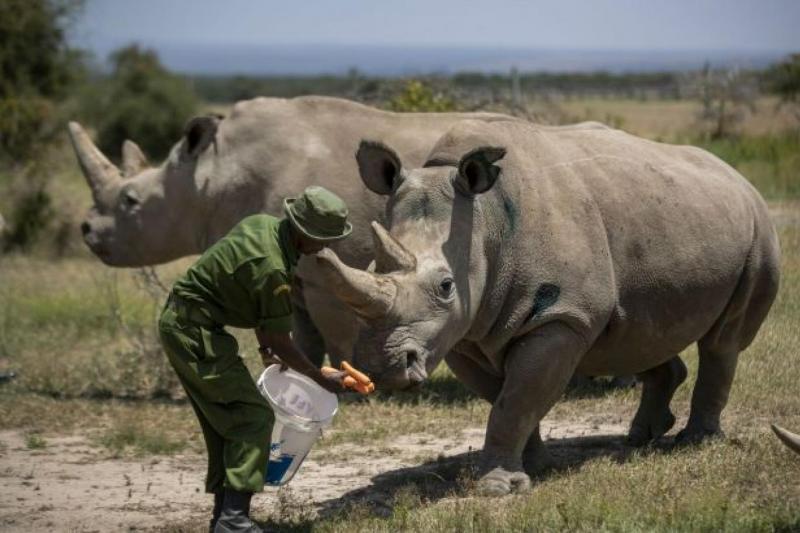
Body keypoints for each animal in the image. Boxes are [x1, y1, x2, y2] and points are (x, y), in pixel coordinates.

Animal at [67, 96, 506, 362]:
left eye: (130, 202)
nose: (86, 230)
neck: (209, 176)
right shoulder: (294, 272)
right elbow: (302, 332)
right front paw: (302, 371)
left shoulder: (330, 270)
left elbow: (336, 330)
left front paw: (356, 377)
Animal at [318, 118, 780, 492]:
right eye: (372, 266)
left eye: (446, 286)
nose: (382, 368)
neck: (484, 221)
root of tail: (735, 175)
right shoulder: (464, 331)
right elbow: (507, 398)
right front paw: (535, 468)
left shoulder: (561, 317)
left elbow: (516, 400)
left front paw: (497, 488)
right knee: (638, 331)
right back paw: (642, 437)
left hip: (759, 229)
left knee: (723, 340)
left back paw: (695, 441)